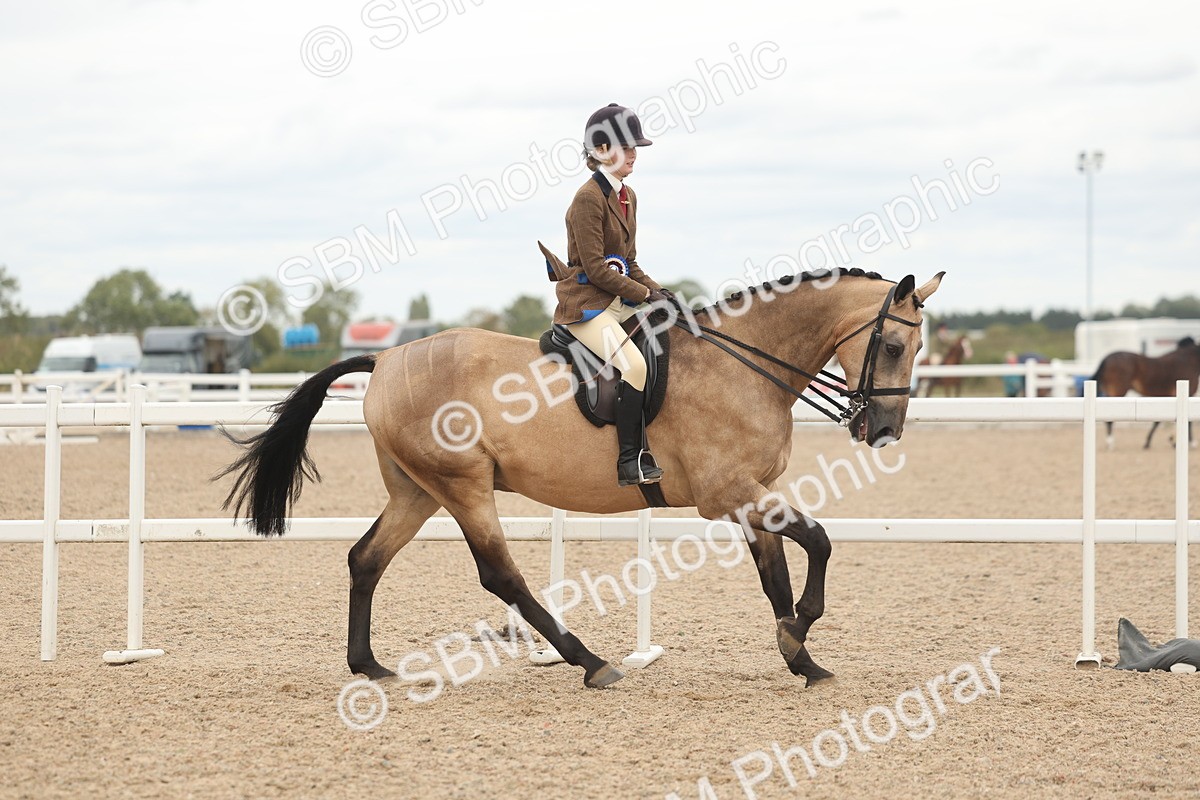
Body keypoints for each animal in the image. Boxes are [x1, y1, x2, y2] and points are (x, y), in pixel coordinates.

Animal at [216, 268, 944, 689]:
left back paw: (368, 666)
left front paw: (801, 658)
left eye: (917, 348)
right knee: (500, 575)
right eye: (893, 345)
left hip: (418, 490)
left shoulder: (750, 496)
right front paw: (800, 636)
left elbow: (776, 575)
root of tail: (388, 357)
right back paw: (591, 663)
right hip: (463, 486)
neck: (743, 364)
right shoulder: (728, 495)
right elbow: (818, 541)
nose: (883, 430)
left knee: (366, 558)